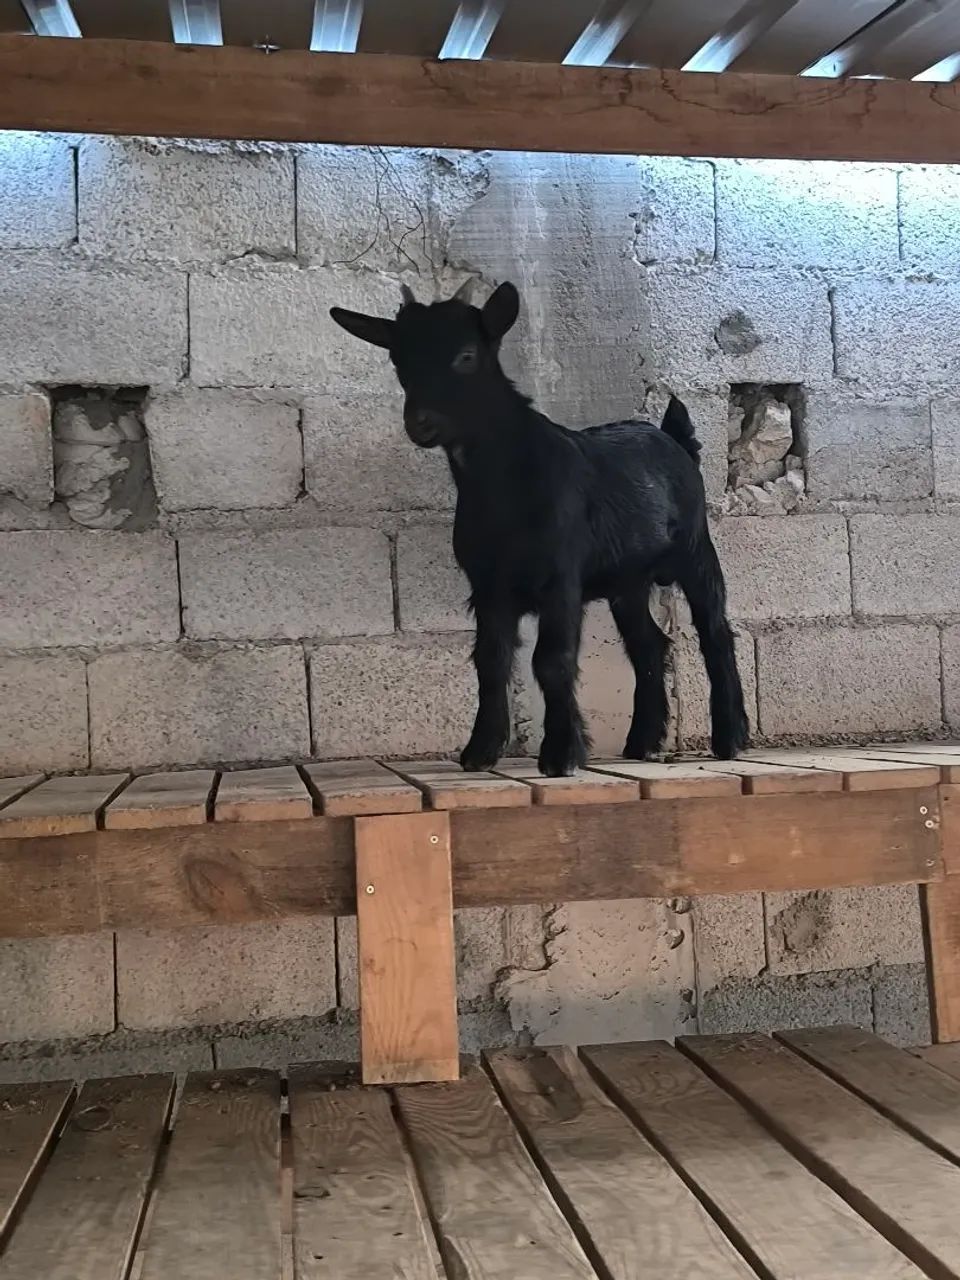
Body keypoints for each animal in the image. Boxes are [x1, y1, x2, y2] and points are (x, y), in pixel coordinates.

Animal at [330, 280, 748, 776]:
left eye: (467, 354)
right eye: (398, 360)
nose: (421, 423)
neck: (504, 480)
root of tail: (675, 439)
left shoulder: (560, 577)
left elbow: (552, 660)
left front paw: (561, 753)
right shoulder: (488, 585)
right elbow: (490, 661)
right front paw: (480, 750)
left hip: (695, 549)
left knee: (716, 634)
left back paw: (731, 737)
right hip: (627, 579)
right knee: (649, 644)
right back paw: (642, 741)